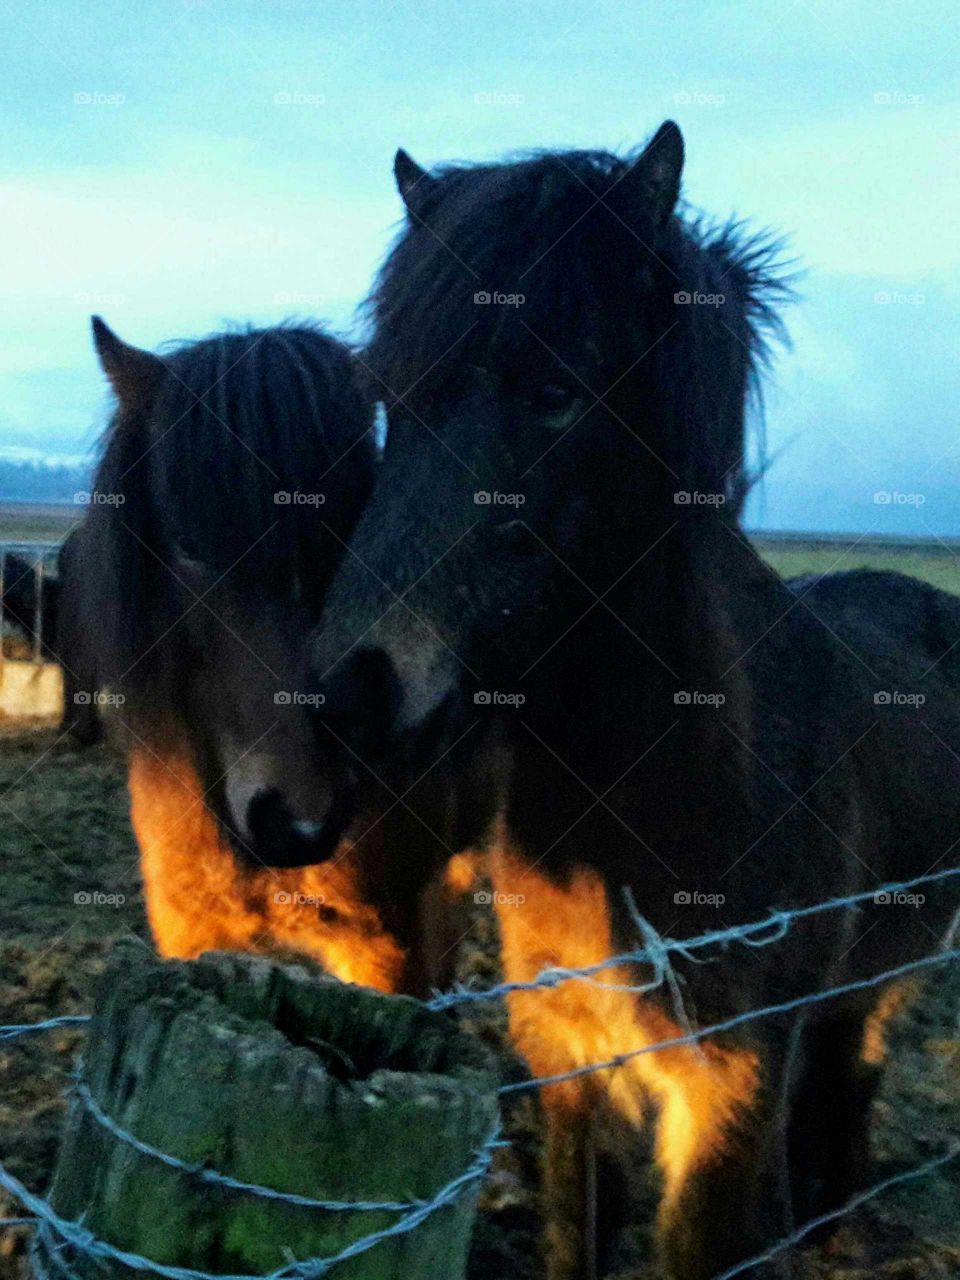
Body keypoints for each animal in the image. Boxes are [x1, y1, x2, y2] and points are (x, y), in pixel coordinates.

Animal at [280, 122, 960, 1280]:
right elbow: (573, 1228)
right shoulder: (564, 1054)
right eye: (390, 401)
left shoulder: (726, 1090)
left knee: (855, 1059)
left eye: (557, 393)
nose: (349, 695)